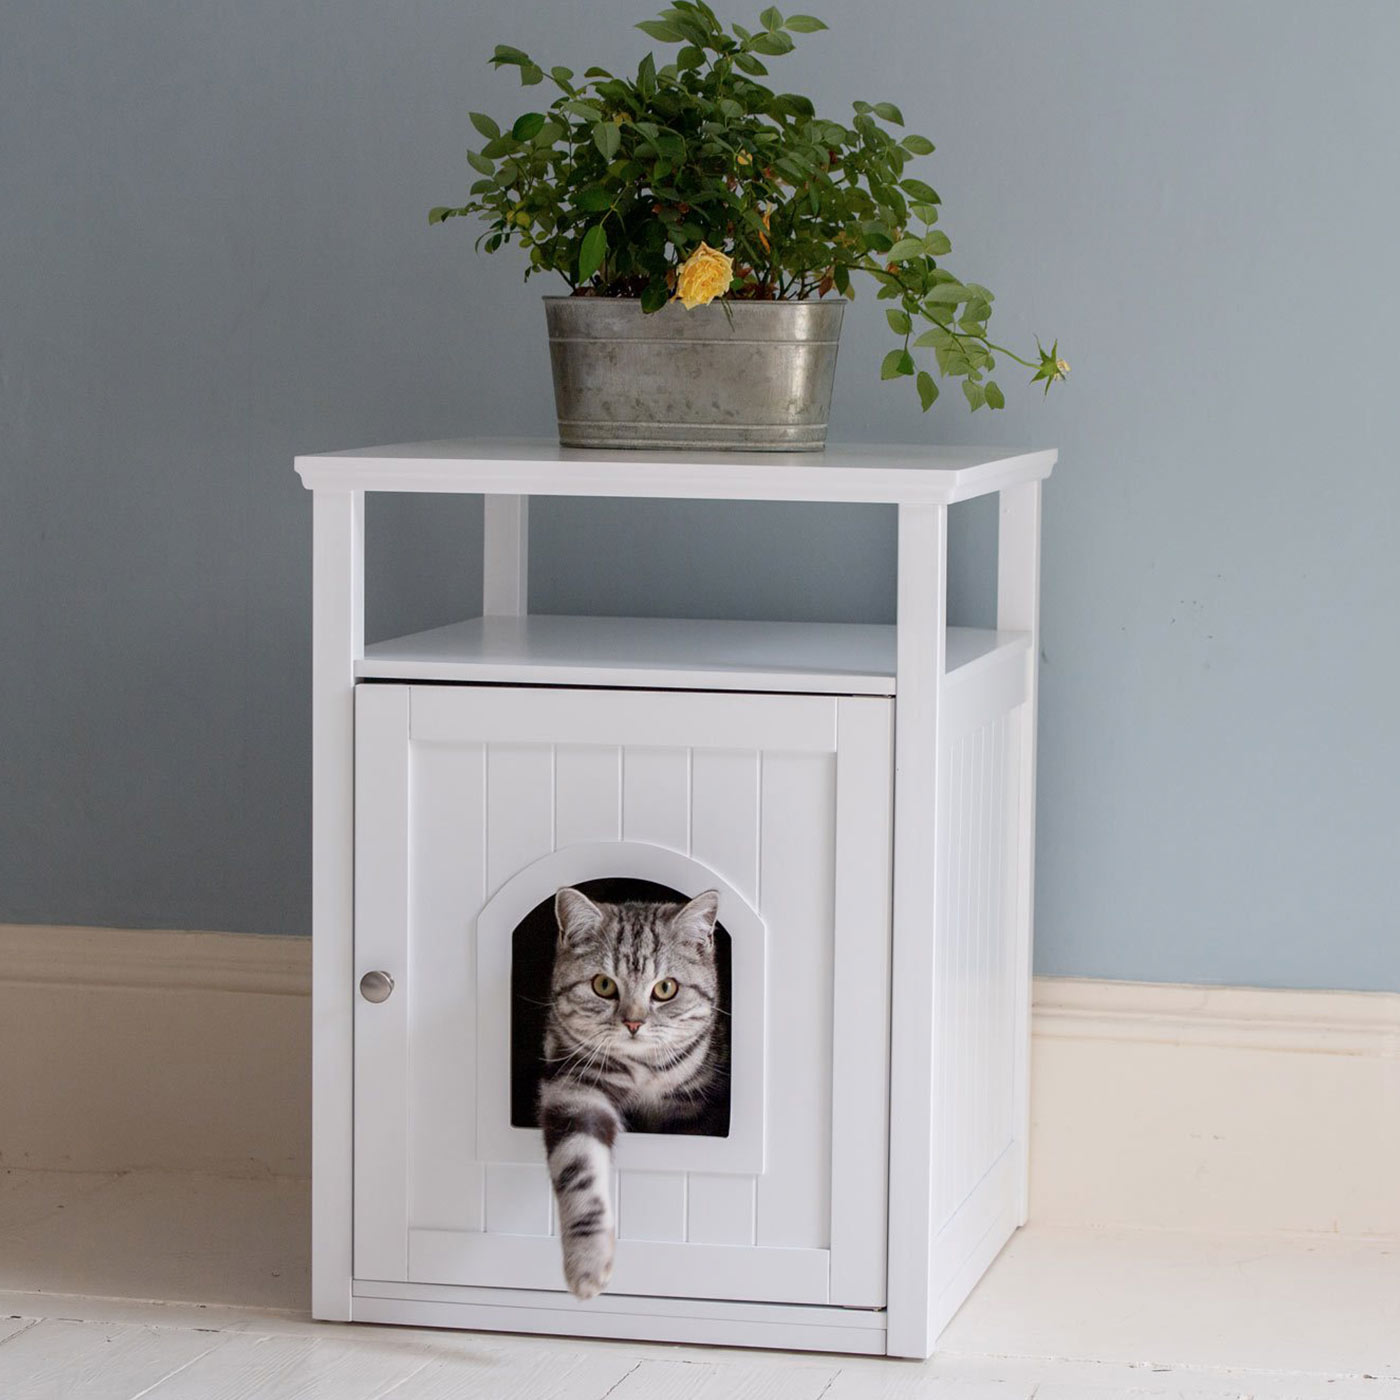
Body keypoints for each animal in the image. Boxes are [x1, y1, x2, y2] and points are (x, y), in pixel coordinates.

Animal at [537, 884, 722, 1299]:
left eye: (665, 988)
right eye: (603, 985)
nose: (633, 1023)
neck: (643, 1071)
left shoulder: (693, 1106)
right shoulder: (575, 1086)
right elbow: (578, 1167)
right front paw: (587, 1263)